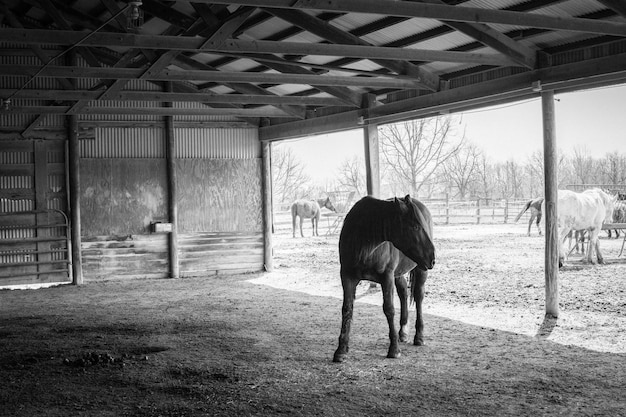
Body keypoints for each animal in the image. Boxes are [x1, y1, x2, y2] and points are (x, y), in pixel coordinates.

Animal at [332, 195, 434, 360]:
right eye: (415, 227)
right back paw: (403, 331)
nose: (432, 257)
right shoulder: (347, 277)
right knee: (403, 292)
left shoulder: (387, 277)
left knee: (418, 296)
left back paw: (419, 337)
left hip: (420, 268)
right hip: (399, 273)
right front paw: (341, 350)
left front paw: (394, 349)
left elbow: (389, 309)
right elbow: (347, 309)